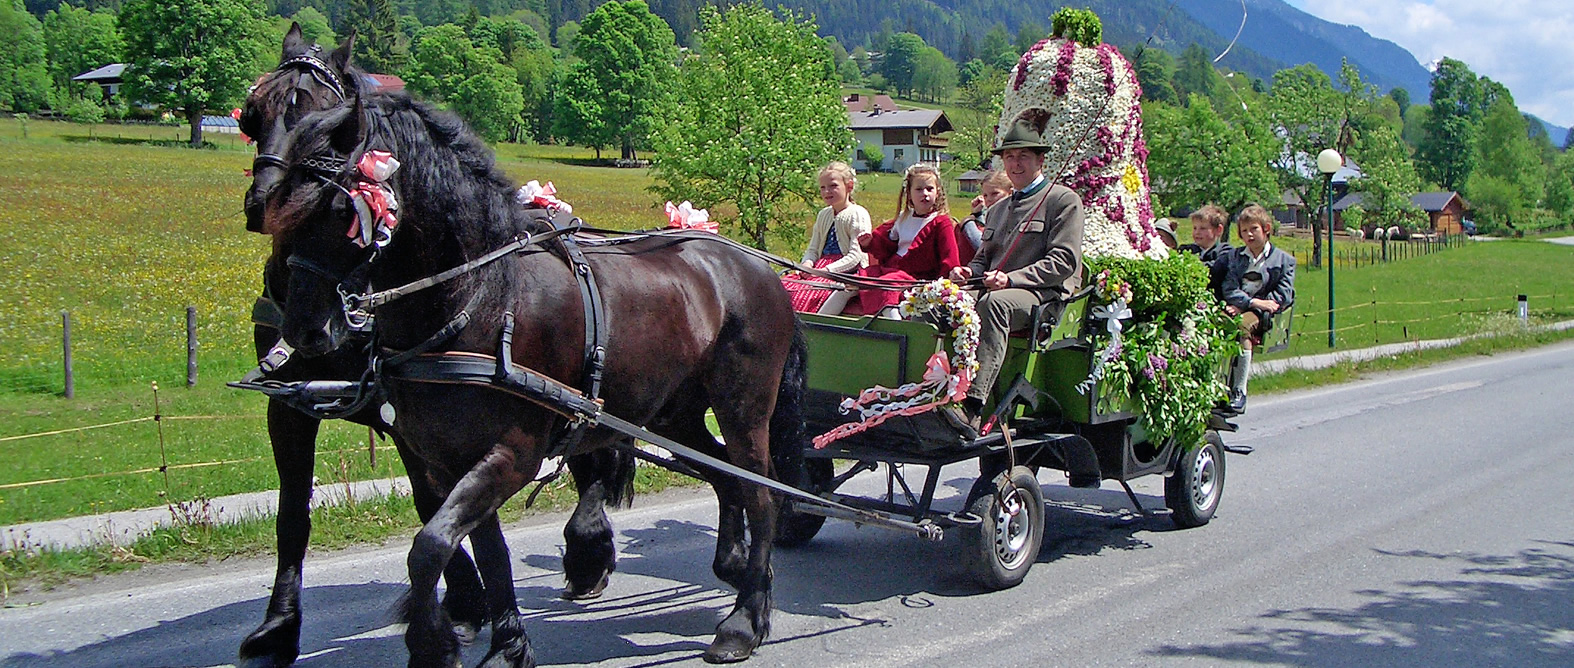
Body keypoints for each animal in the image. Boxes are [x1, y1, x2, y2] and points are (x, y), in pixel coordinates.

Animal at [231, 22, 632, 668]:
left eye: (322, 113)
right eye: (253, 114)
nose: (264, 205)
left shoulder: (415, 419)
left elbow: (431, 508)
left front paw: (458, 608)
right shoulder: (295, 405)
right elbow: (294, 516)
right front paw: (278, 627)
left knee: (594, 455)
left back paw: (588, 551)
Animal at [262, 95, 805, 668]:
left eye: (341, 210)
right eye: (281, 205)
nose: (303, 328)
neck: (483, 298)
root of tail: (759, 268)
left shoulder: (512, 454)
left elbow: (428, 548)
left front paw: (435, 646)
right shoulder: (450, 460)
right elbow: (487, 552)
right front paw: (507, 646)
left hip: (744, 409)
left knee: (761, 495)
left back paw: (745, 619)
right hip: (672, 416)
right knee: (727, 477)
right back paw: (741, 572)